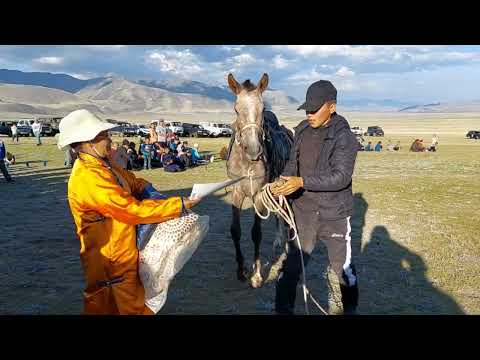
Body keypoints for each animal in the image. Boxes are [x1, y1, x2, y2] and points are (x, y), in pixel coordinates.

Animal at [225, 74, 292, 290]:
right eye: (236, 109)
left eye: (262, 109)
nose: (254, 150)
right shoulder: (237, 192)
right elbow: (235, 230)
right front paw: (241, 270)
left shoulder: (259, 194)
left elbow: (256, 233)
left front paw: (256, 275)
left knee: (285, 214)